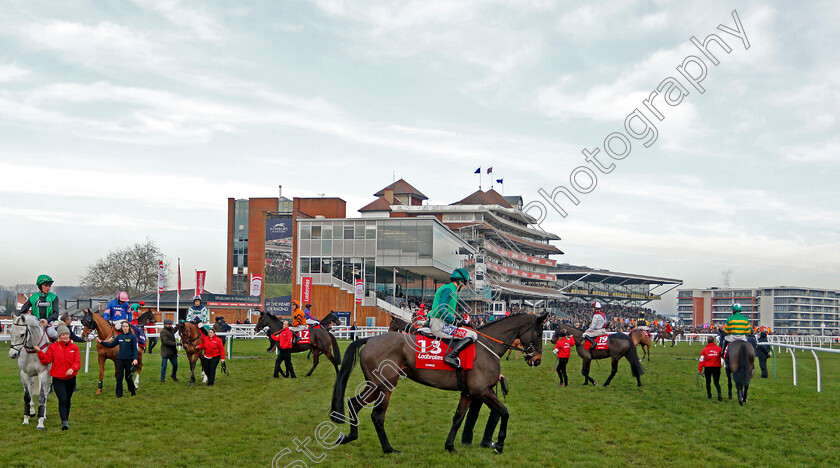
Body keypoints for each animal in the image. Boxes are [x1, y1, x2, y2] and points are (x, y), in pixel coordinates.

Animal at [328, 312, 544, 452]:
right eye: (539, 333)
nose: (537, 359)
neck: (487, 346)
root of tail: (370, 340)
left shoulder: (468, 393)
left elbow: (458, 418)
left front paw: (450, 446)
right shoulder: (482, 391)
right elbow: (505, 412)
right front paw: (499, 444)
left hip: (375, 385)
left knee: (354, 403)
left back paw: (350, 436)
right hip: (383, 386)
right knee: (376, 416)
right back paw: (388, 448)